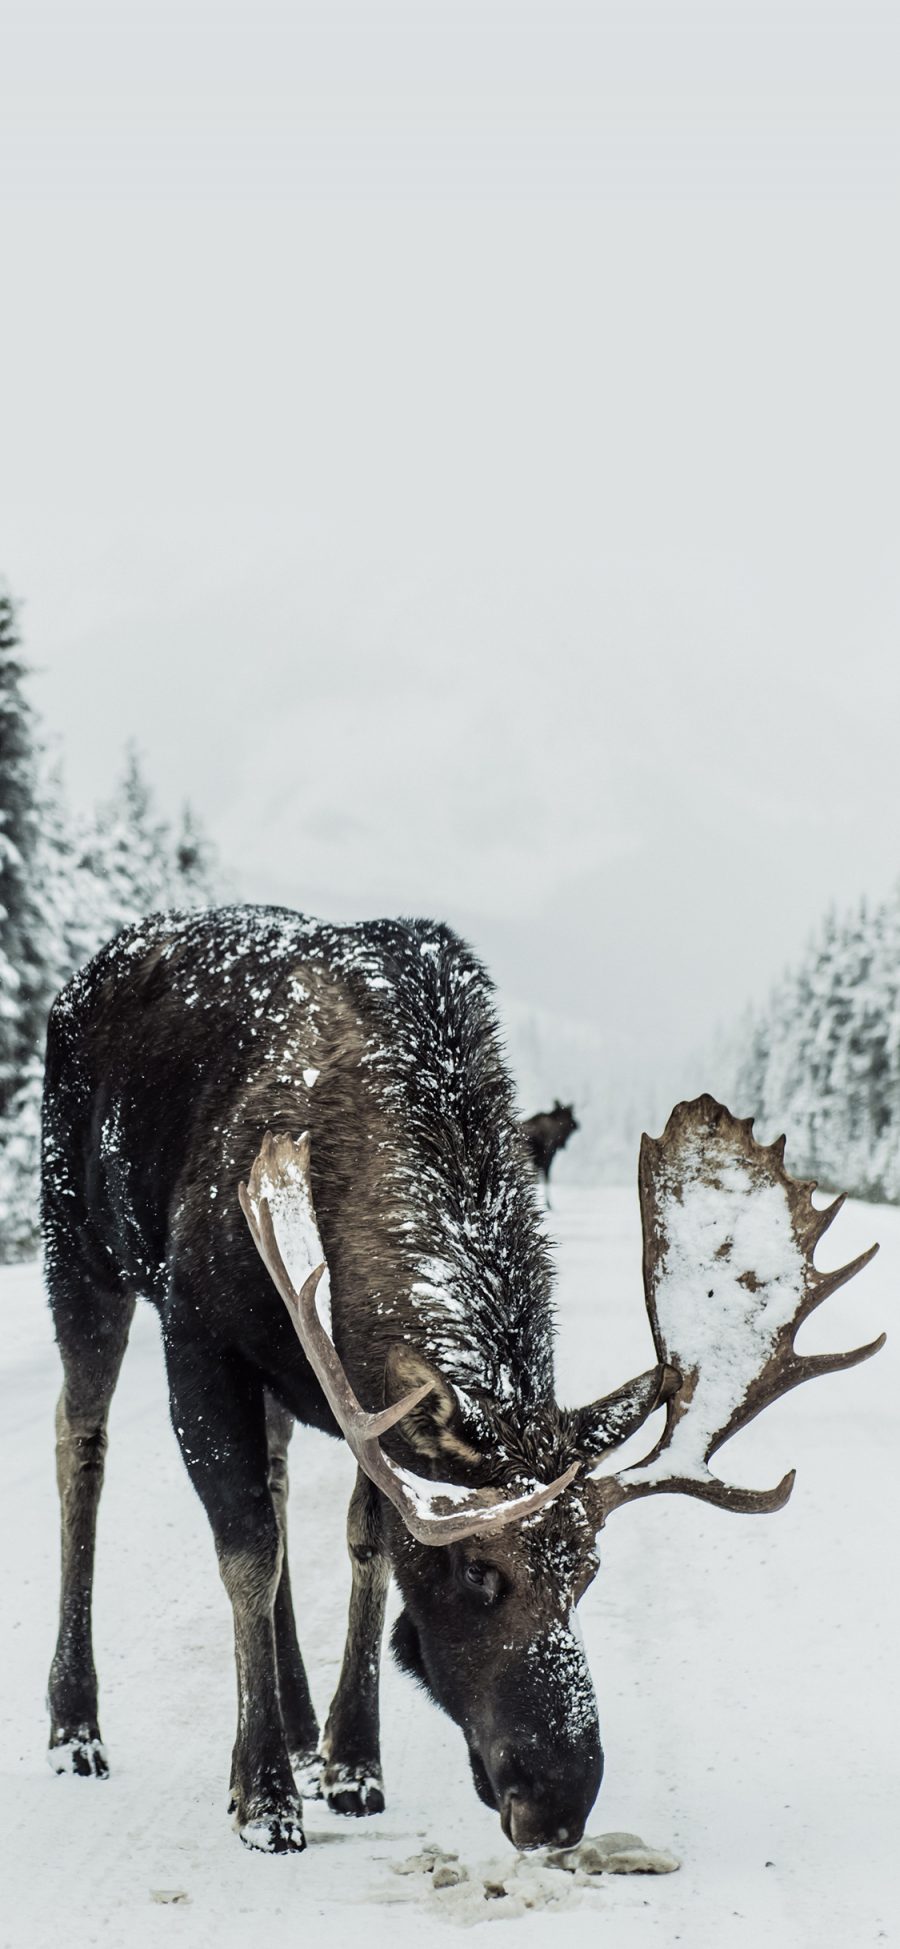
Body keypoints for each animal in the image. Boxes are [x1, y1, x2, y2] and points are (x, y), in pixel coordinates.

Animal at [45, 912, 880, 1855]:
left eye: (590, 1569)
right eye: (480, 1570)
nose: (559, 1801)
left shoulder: (359, 1393)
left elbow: (366, 1542)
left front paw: (351, 1759)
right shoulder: (198, 1330)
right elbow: (248, 1550)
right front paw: (261, 1795)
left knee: (278, 1476)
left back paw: (299, 1727)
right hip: (78, 1244)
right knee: (82, 1443)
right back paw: (77, 1727)